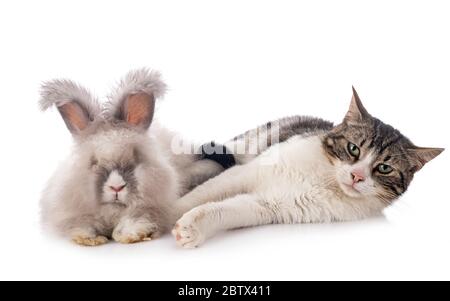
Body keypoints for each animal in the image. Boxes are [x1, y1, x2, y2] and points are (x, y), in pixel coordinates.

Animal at [38, 68, 223, 246]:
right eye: (94, 162)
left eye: (134, 159)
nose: (116, 187)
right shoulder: (73, 214)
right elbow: (82, 225)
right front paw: (91, 239)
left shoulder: (148, 210)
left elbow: (133, 221)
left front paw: (131, 236)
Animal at [172, 88, 442, 247]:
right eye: (353, 148)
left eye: (384, 168)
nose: (357, 176)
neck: (325, 179)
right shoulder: (247, 172)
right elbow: (201, 194)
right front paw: (170, 210)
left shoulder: (270, 206)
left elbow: (226, 210)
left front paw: (192, 228)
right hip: (242, 144)